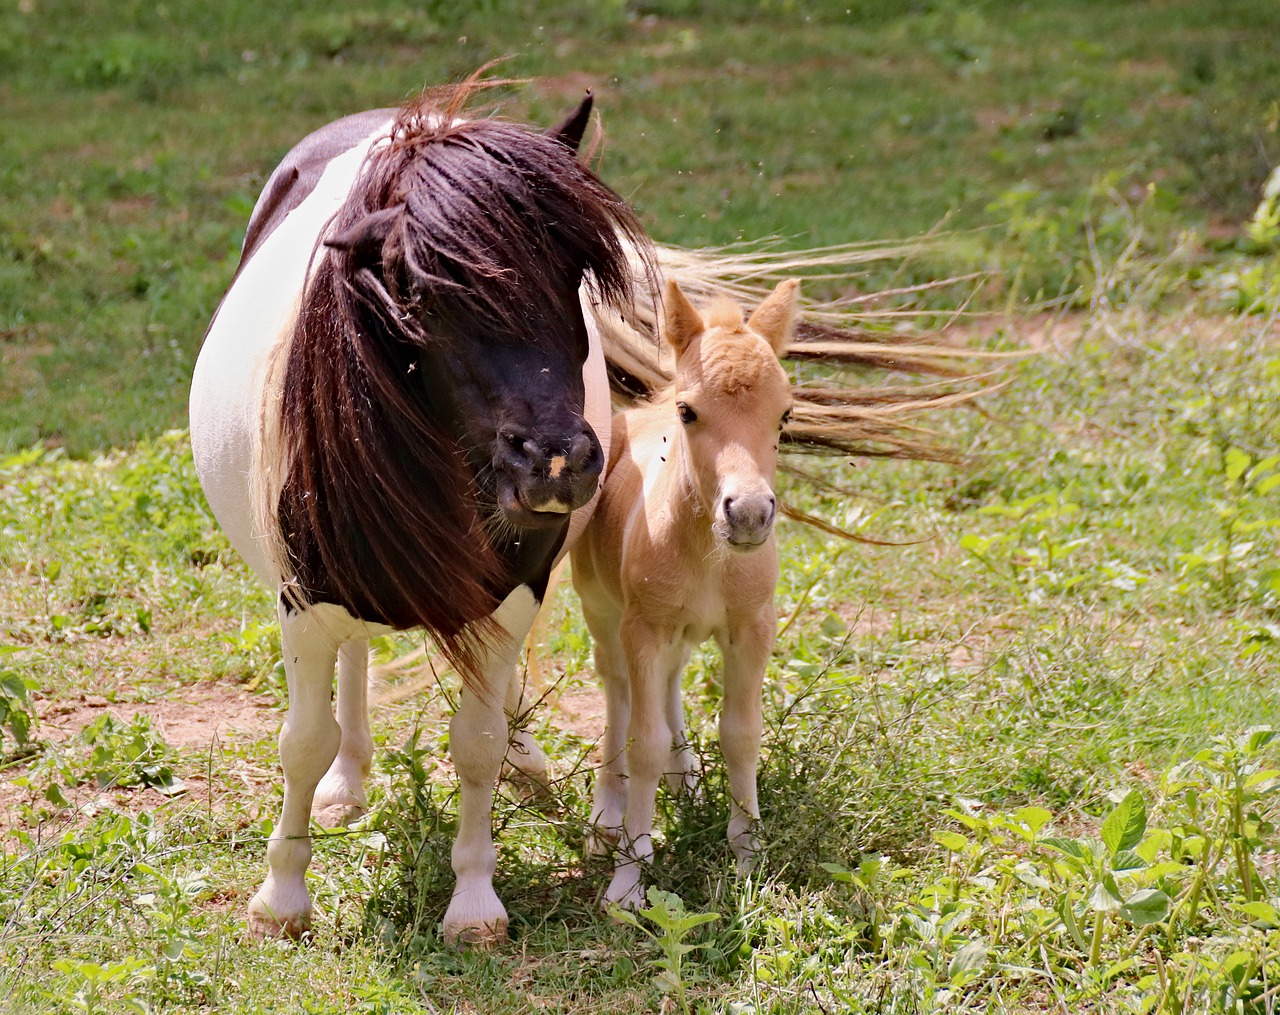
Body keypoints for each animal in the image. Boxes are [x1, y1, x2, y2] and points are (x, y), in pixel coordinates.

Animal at [189, 83, 650, 947]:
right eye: (416, 291)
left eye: (574, 273)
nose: (558, 462)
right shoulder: (305, 601)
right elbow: (302, 741)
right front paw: (283, 895)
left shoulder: (511, 595)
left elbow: (476, 742)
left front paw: (473, 901)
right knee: (352, 665)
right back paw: (348, 781)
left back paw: (526, 760)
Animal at [573, 279, 793, 911]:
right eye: (689, 411)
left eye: (785, 414)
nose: (749, 514)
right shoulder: (642, 627)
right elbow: (641, 743)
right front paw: (627, 879)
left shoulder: (752, 626)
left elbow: (741, 734)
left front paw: (748, 857)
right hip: (603, 611)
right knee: (618, 691)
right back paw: (608, 814)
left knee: (668, 683)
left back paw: (686, 782)